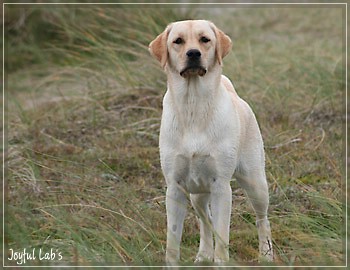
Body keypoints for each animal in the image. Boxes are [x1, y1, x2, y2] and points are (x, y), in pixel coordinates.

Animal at [148, 20, 274, 264]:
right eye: (178, 41)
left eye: (205, 39)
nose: (193, 53)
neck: (193, 105)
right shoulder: (175, 189)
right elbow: (172, 243)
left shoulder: (221, 188)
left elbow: (222, 240)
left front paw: (221, 262)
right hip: (197, 195)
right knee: (205, 221)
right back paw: (203, 255)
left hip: (256, 184)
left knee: (262, 219)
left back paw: (266, 255)